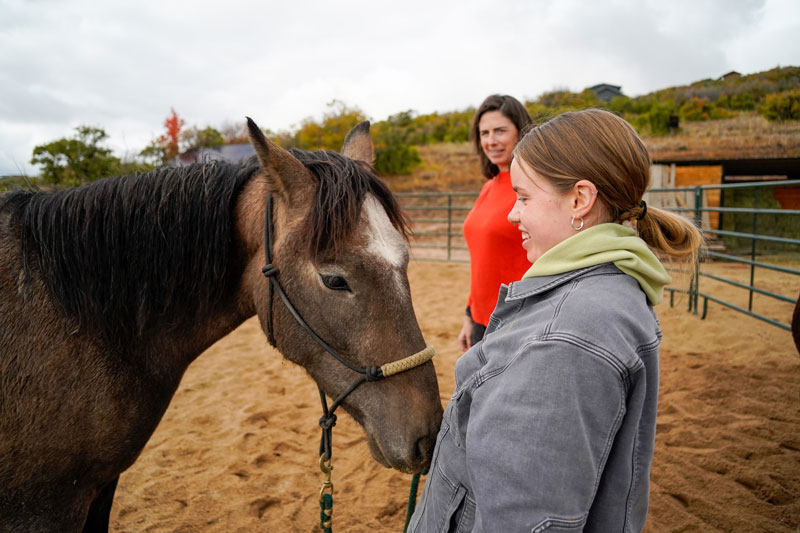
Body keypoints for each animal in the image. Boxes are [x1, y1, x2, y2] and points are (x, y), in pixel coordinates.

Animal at [0, 119, 443, 532]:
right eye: (334, 279)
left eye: (405, 261)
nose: (429, 434)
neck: (85, 324)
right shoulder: (45, 506)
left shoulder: (101, 486)